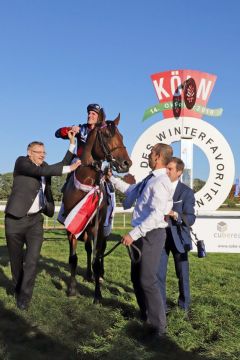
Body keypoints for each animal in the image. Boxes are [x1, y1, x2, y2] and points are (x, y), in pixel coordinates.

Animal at [62, 109, 132, 304]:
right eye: (107, 135)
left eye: (122, 135)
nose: (126, 163)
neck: (87, 181)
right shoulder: (73, 225)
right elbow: (73, 258)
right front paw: (72, 289)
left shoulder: (99, 226)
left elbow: (97, 258)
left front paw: (97, 295)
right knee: (88, 249)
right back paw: (88, 275)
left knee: (100, 253)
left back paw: (98, 276)